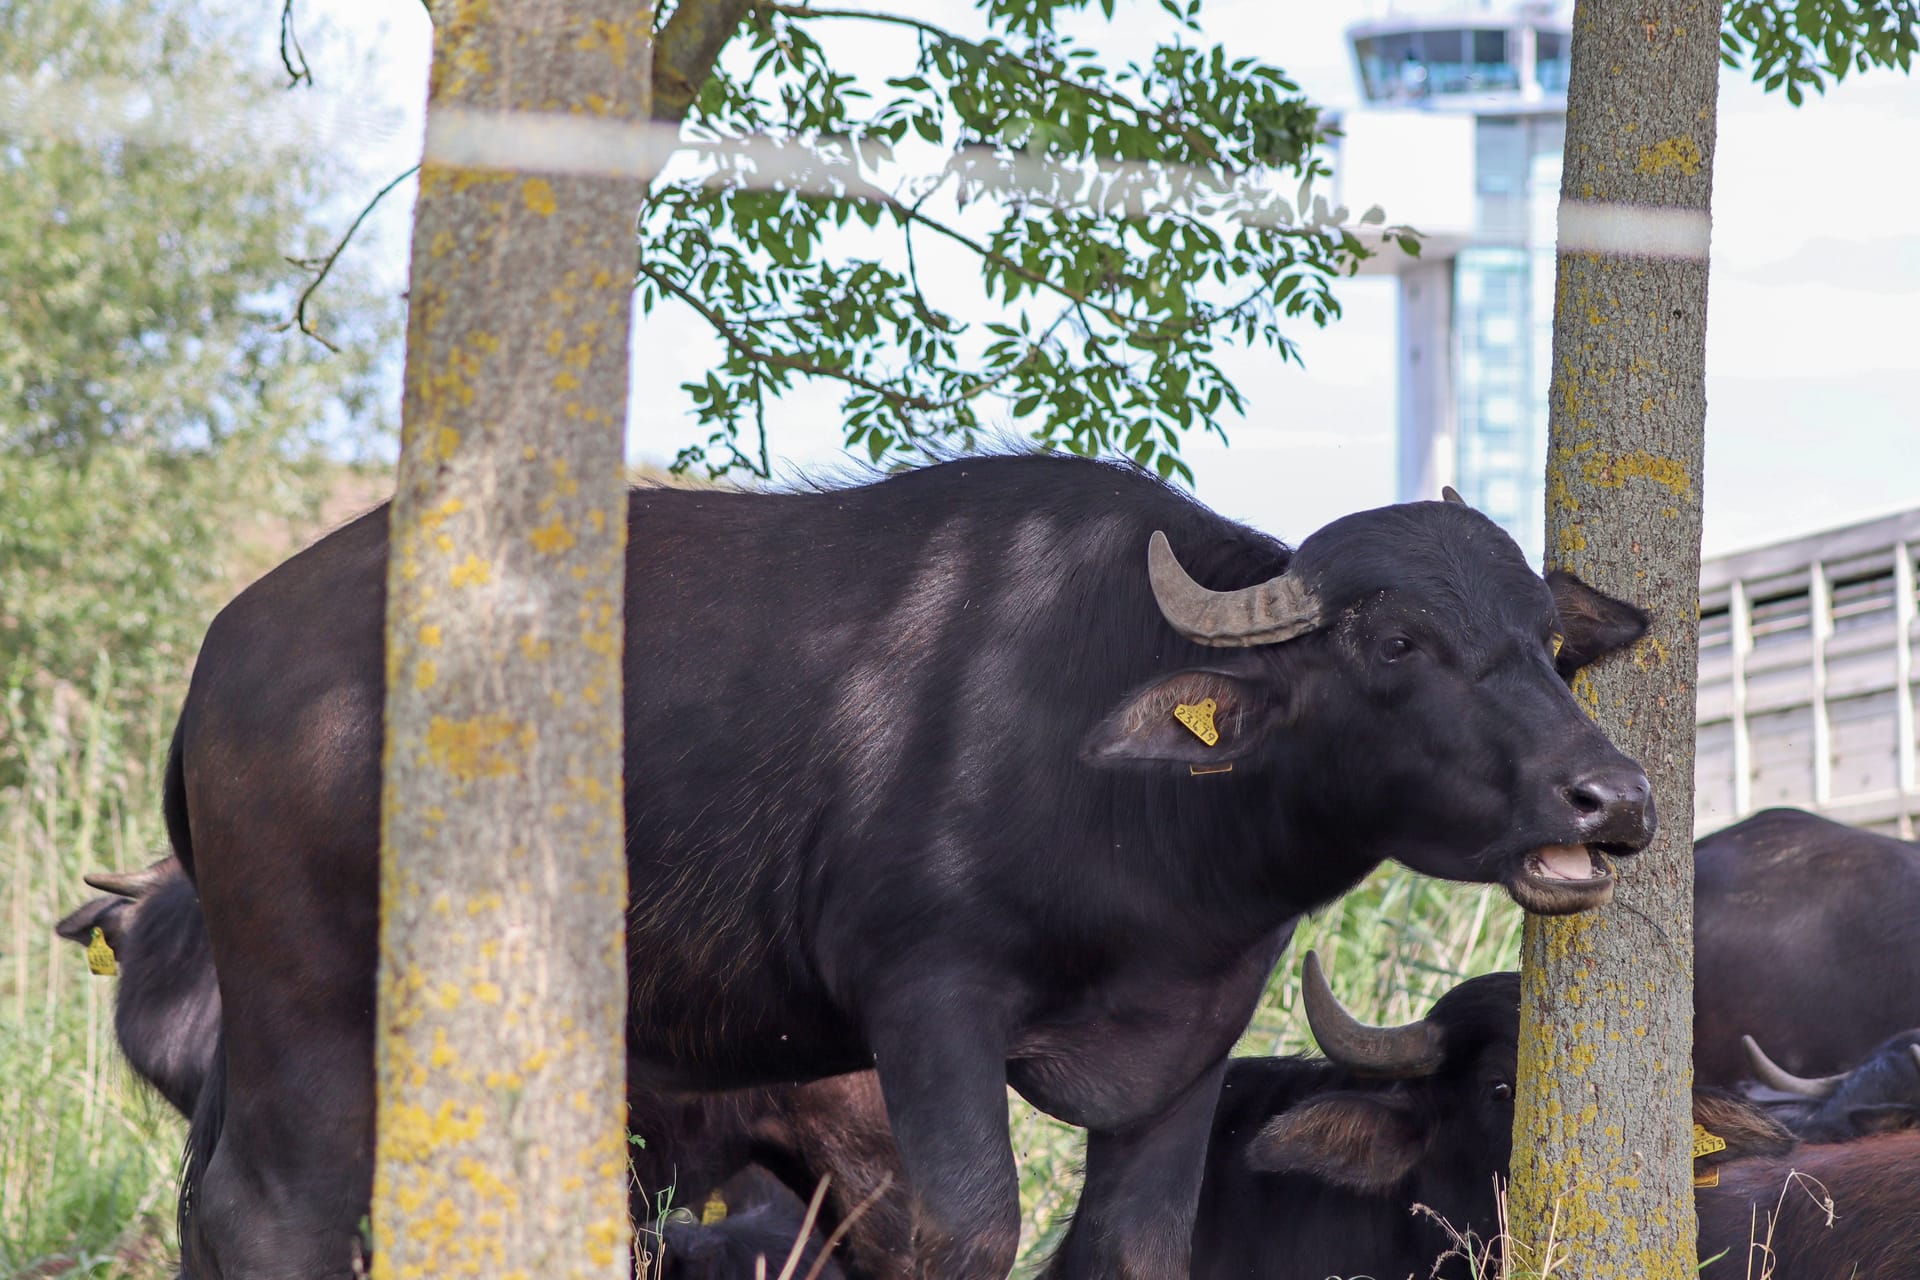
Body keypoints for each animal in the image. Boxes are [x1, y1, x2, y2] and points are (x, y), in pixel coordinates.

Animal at [161, 454, 1651, 1274]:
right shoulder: (928, 999)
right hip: (304, 993)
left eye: (1545, 641)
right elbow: (971, 1228)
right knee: (273, 1213)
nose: (1615, 797)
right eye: (1395, 642)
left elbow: (1135, 1249)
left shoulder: (1189, 1051)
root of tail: (230, 648)